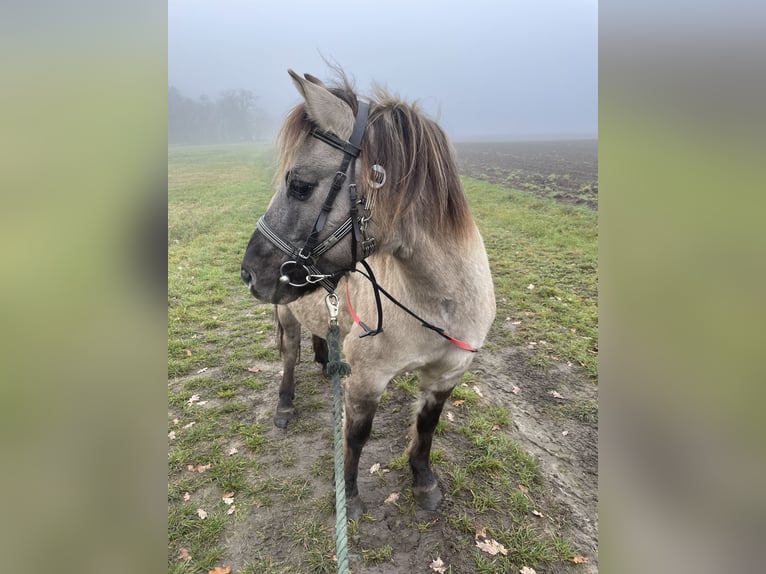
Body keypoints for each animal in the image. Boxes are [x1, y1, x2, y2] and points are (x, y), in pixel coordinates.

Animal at [242, 70, 498, 520]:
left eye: (300, 185)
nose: (248, 272)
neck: (438, 305)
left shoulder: (447, 374)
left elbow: (427, 428)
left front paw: (423, 483)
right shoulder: (366, 379)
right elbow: (357, 436)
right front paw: (350, 497)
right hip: (286, 316)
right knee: (289, 355)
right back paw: (285, 405)